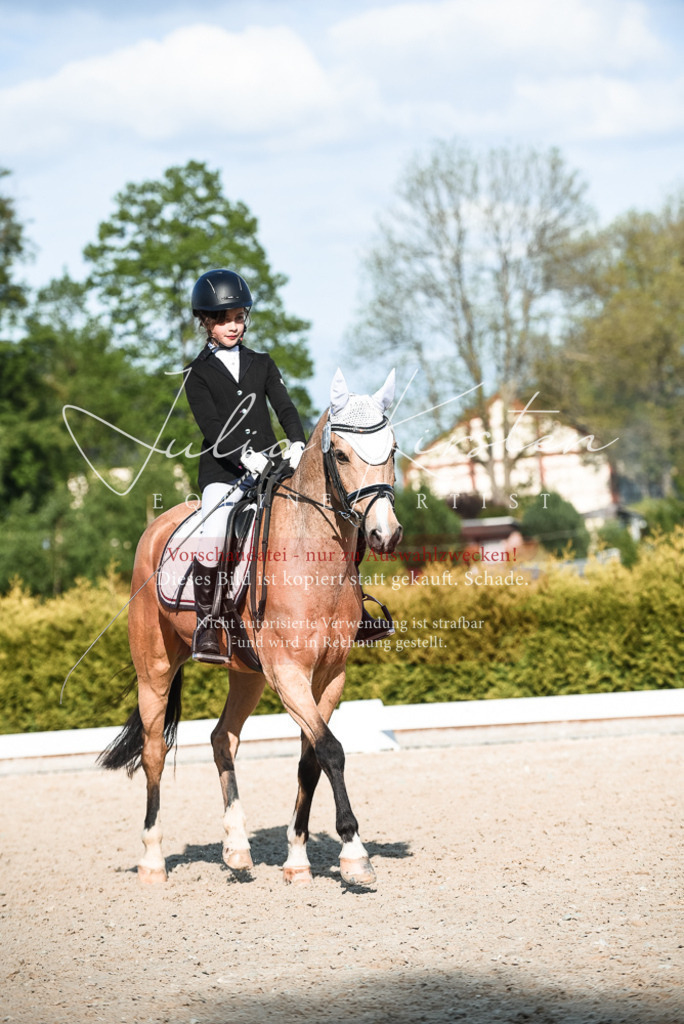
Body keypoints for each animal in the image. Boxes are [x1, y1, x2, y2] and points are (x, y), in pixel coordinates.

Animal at [99, 368, 402, 887]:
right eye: (342, 455)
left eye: (394, 449)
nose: (385, 535)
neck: (312, 557)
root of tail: (156, 527)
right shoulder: (288, 673)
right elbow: (332, 750)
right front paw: (354, 851)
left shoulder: (329, 677)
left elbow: (310, 758)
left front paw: (298, 859)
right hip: (154, 669)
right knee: (155, 750)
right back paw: (153, 859)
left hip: (246, 674)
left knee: (223, 738)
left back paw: (237, 849)